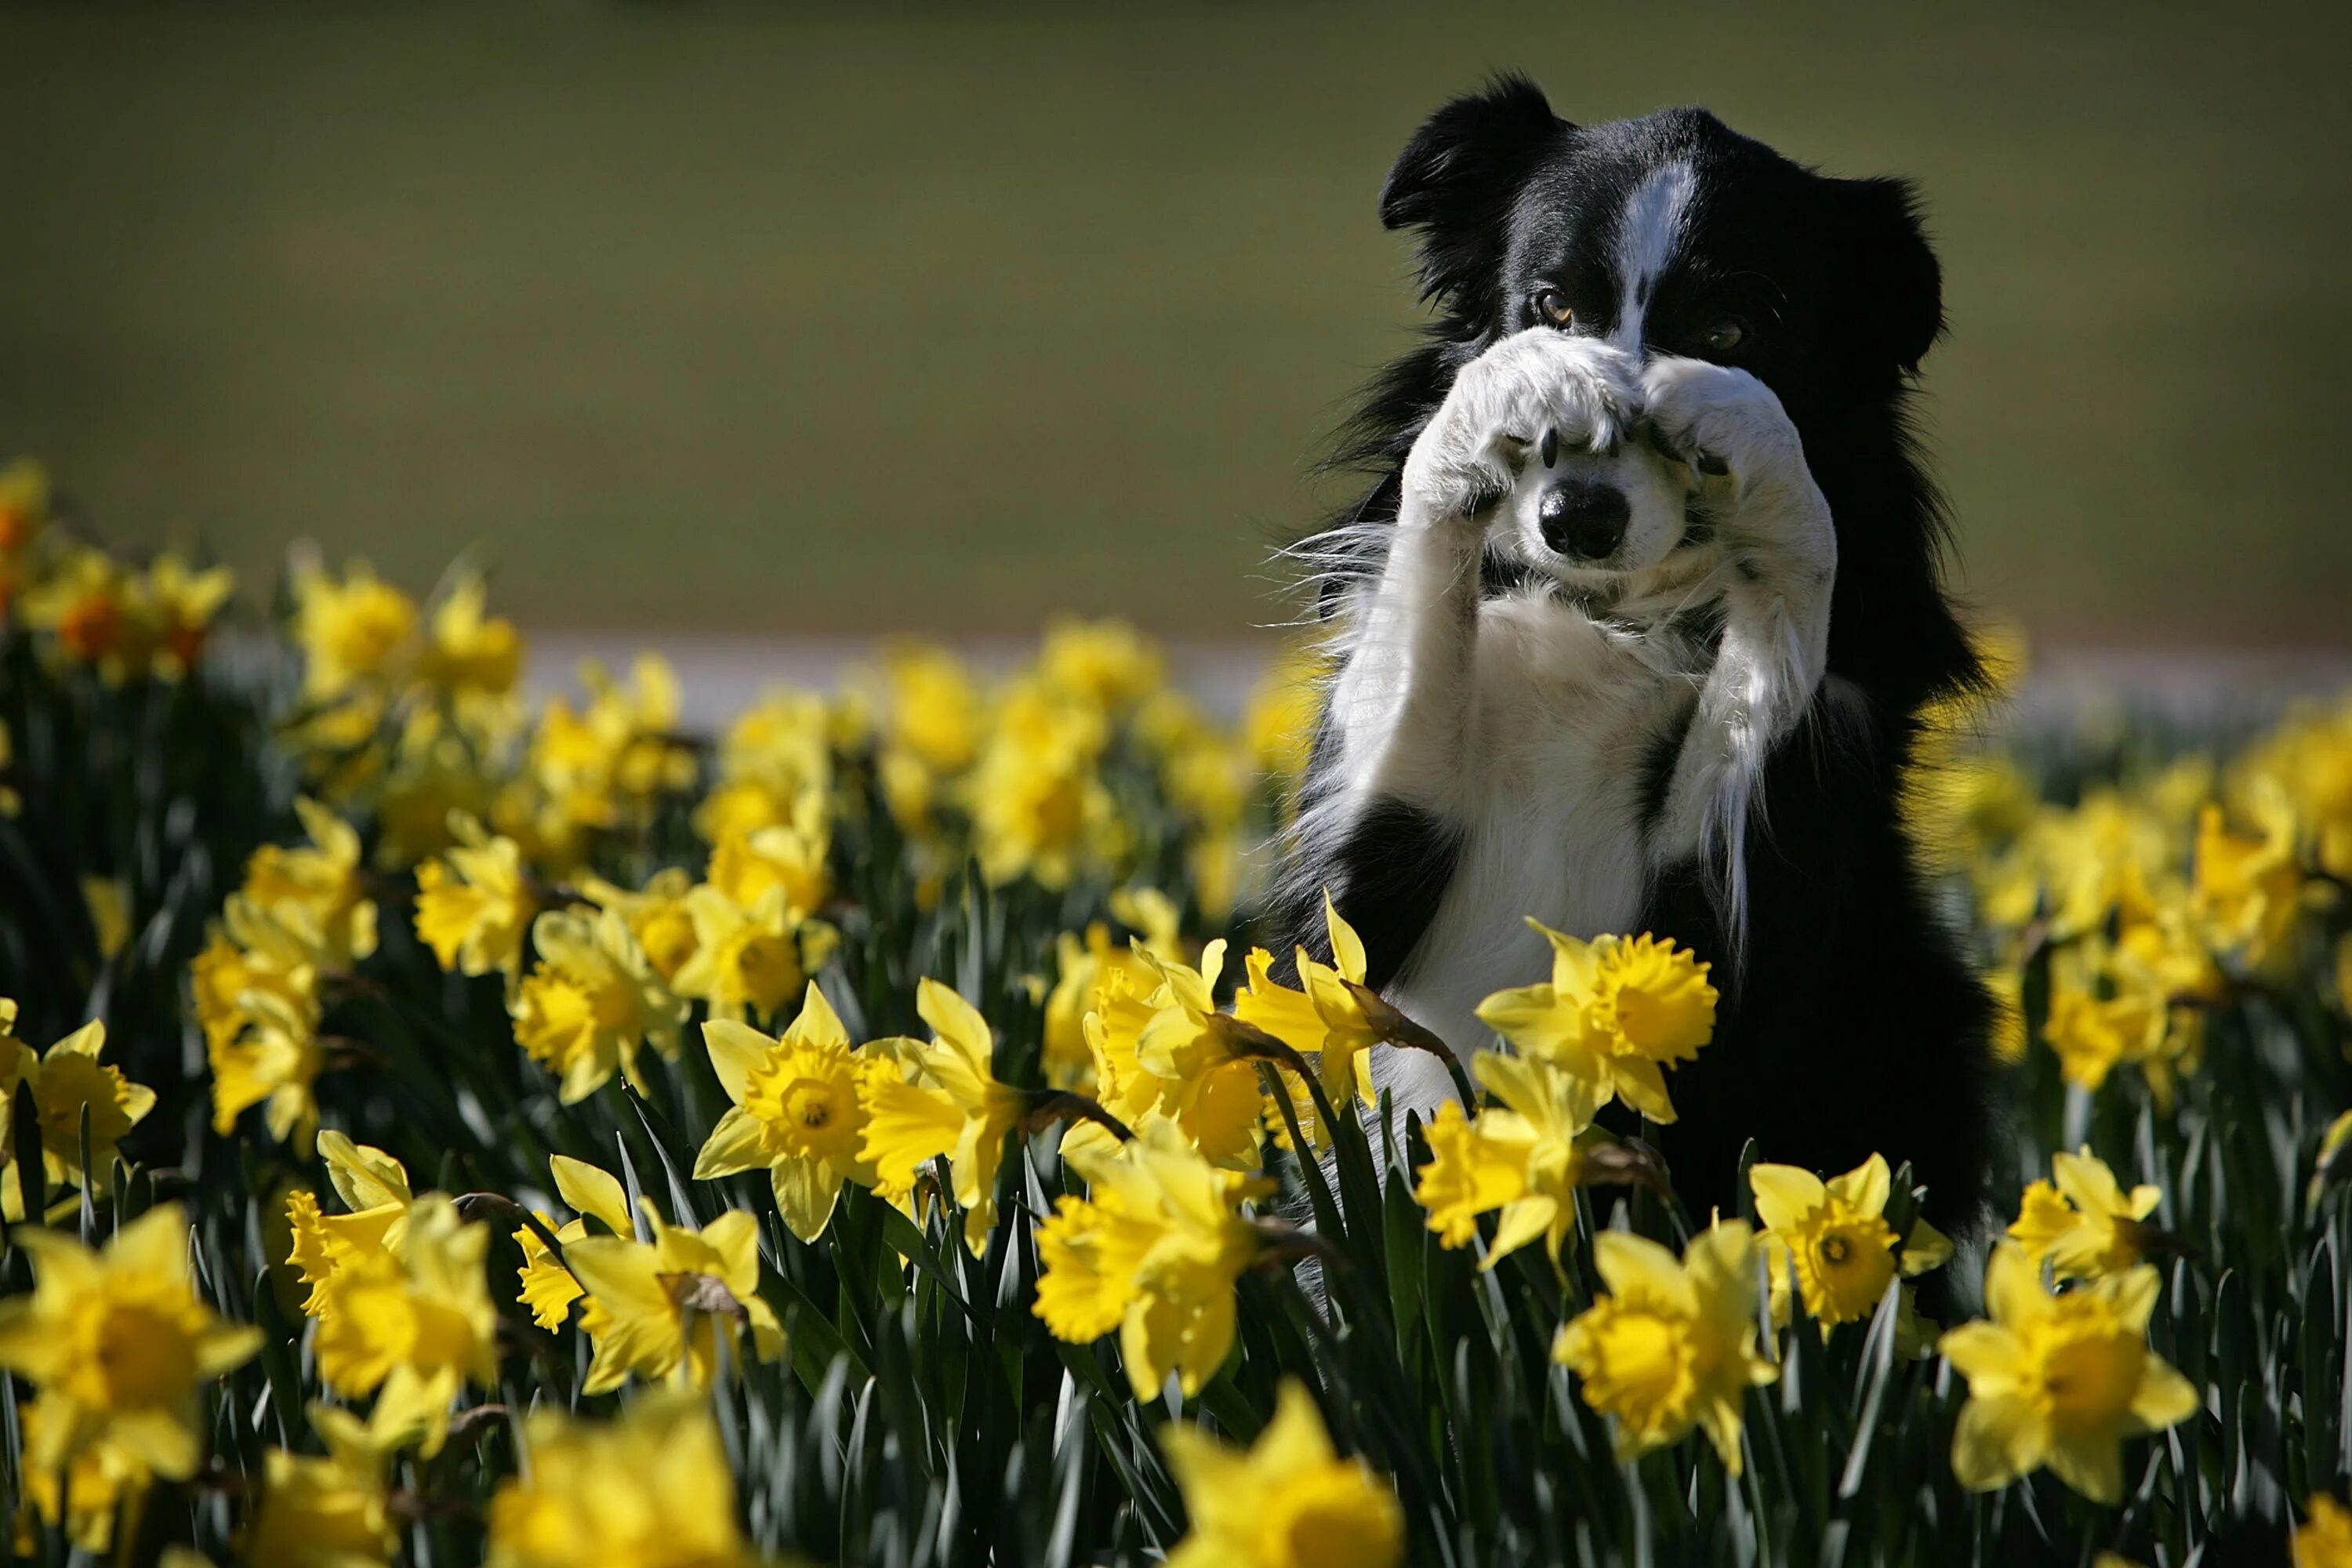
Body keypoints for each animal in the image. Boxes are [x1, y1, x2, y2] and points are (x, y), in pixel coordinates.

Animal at [1279, 82, 1994, 1241]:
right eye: (1552, 306)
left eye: (1731, 329)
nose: (1578, 520)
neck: (1613, 614)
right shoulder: (1369, 887)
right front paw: (1506, 393)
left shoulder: (1740, 933)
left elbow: (1785, 620)